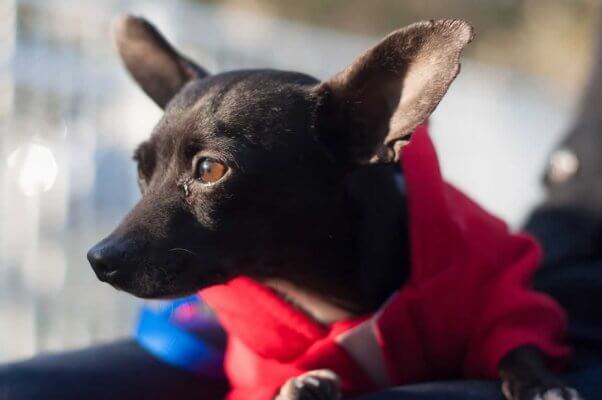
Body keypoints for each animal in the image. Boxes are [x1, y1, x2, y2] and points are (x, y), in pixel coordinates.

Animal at [86, 14, 580, 400]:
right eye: (141, 169)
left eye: (210, 169)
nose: (99, 258)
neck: (322, 289)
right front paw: (299, 385)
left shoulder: (498, 285)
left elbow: (518, 338)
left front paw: (540, 382)